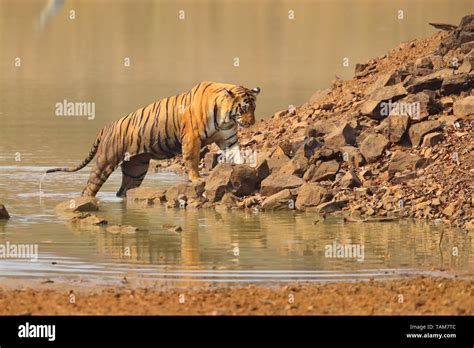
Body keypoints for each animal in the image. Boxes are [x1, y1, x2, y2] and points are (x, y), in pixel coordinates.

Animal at [46, 80, 262, 197]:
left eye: (254, 108)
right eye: (244, 109)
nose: (252, 123)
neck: (226, 117)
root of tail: (106, 126)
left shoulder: (228, 138)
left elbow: (237, 154)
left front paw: (244, 168)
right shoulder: (191, 139)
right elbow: (191, 160)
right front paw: (197, 178)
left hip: (136, 169)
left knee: (123, 191)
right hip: (104, 162)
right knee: (89, 189)